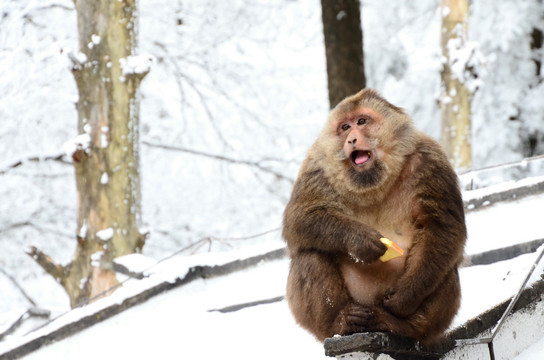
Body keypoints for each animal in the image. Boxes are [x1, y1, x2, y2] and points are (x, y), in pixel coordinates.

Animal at [282, 88, 466, 344]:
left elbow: (441, 227)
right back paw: (341, 322)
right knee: (309, 254)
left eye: (361, 121)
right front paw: (361, 240)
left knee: (444, 268)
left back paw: (402, 327)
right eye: (345, 127)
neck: (373, 181)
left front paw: (403, 297)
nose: (351, 139)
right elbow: (300, 218)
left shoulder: (430, 159)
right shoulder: (316, 166)